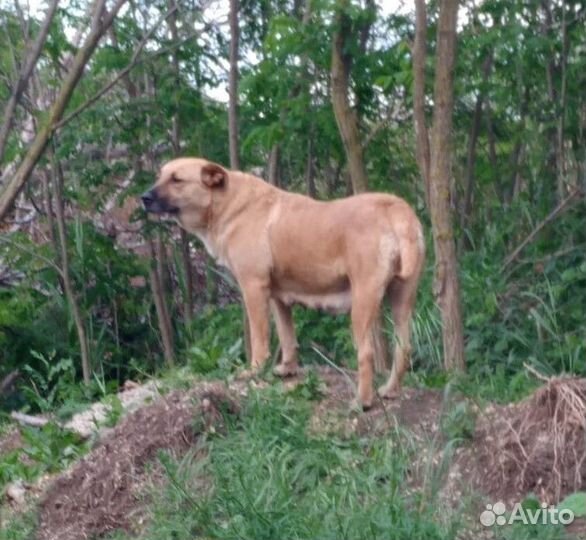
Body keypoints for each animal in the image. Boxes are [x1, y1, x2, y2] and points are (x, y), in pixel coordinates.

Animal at [143, 157, 422, 410]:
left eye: (176, 179)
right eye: (160, 175)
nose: (144, 197)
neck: (229, 204)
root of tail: (394, 207)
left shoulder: (253, 288)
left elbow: (259, 338)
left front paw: (255, 371)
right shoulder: (278, 297)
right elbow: (287, 337)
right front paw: (288, 369)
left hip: (363, 301)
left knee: (366, 353)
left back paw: (362, 401)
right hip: (402, 301)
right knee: (404, 348)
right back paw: (390, 390)